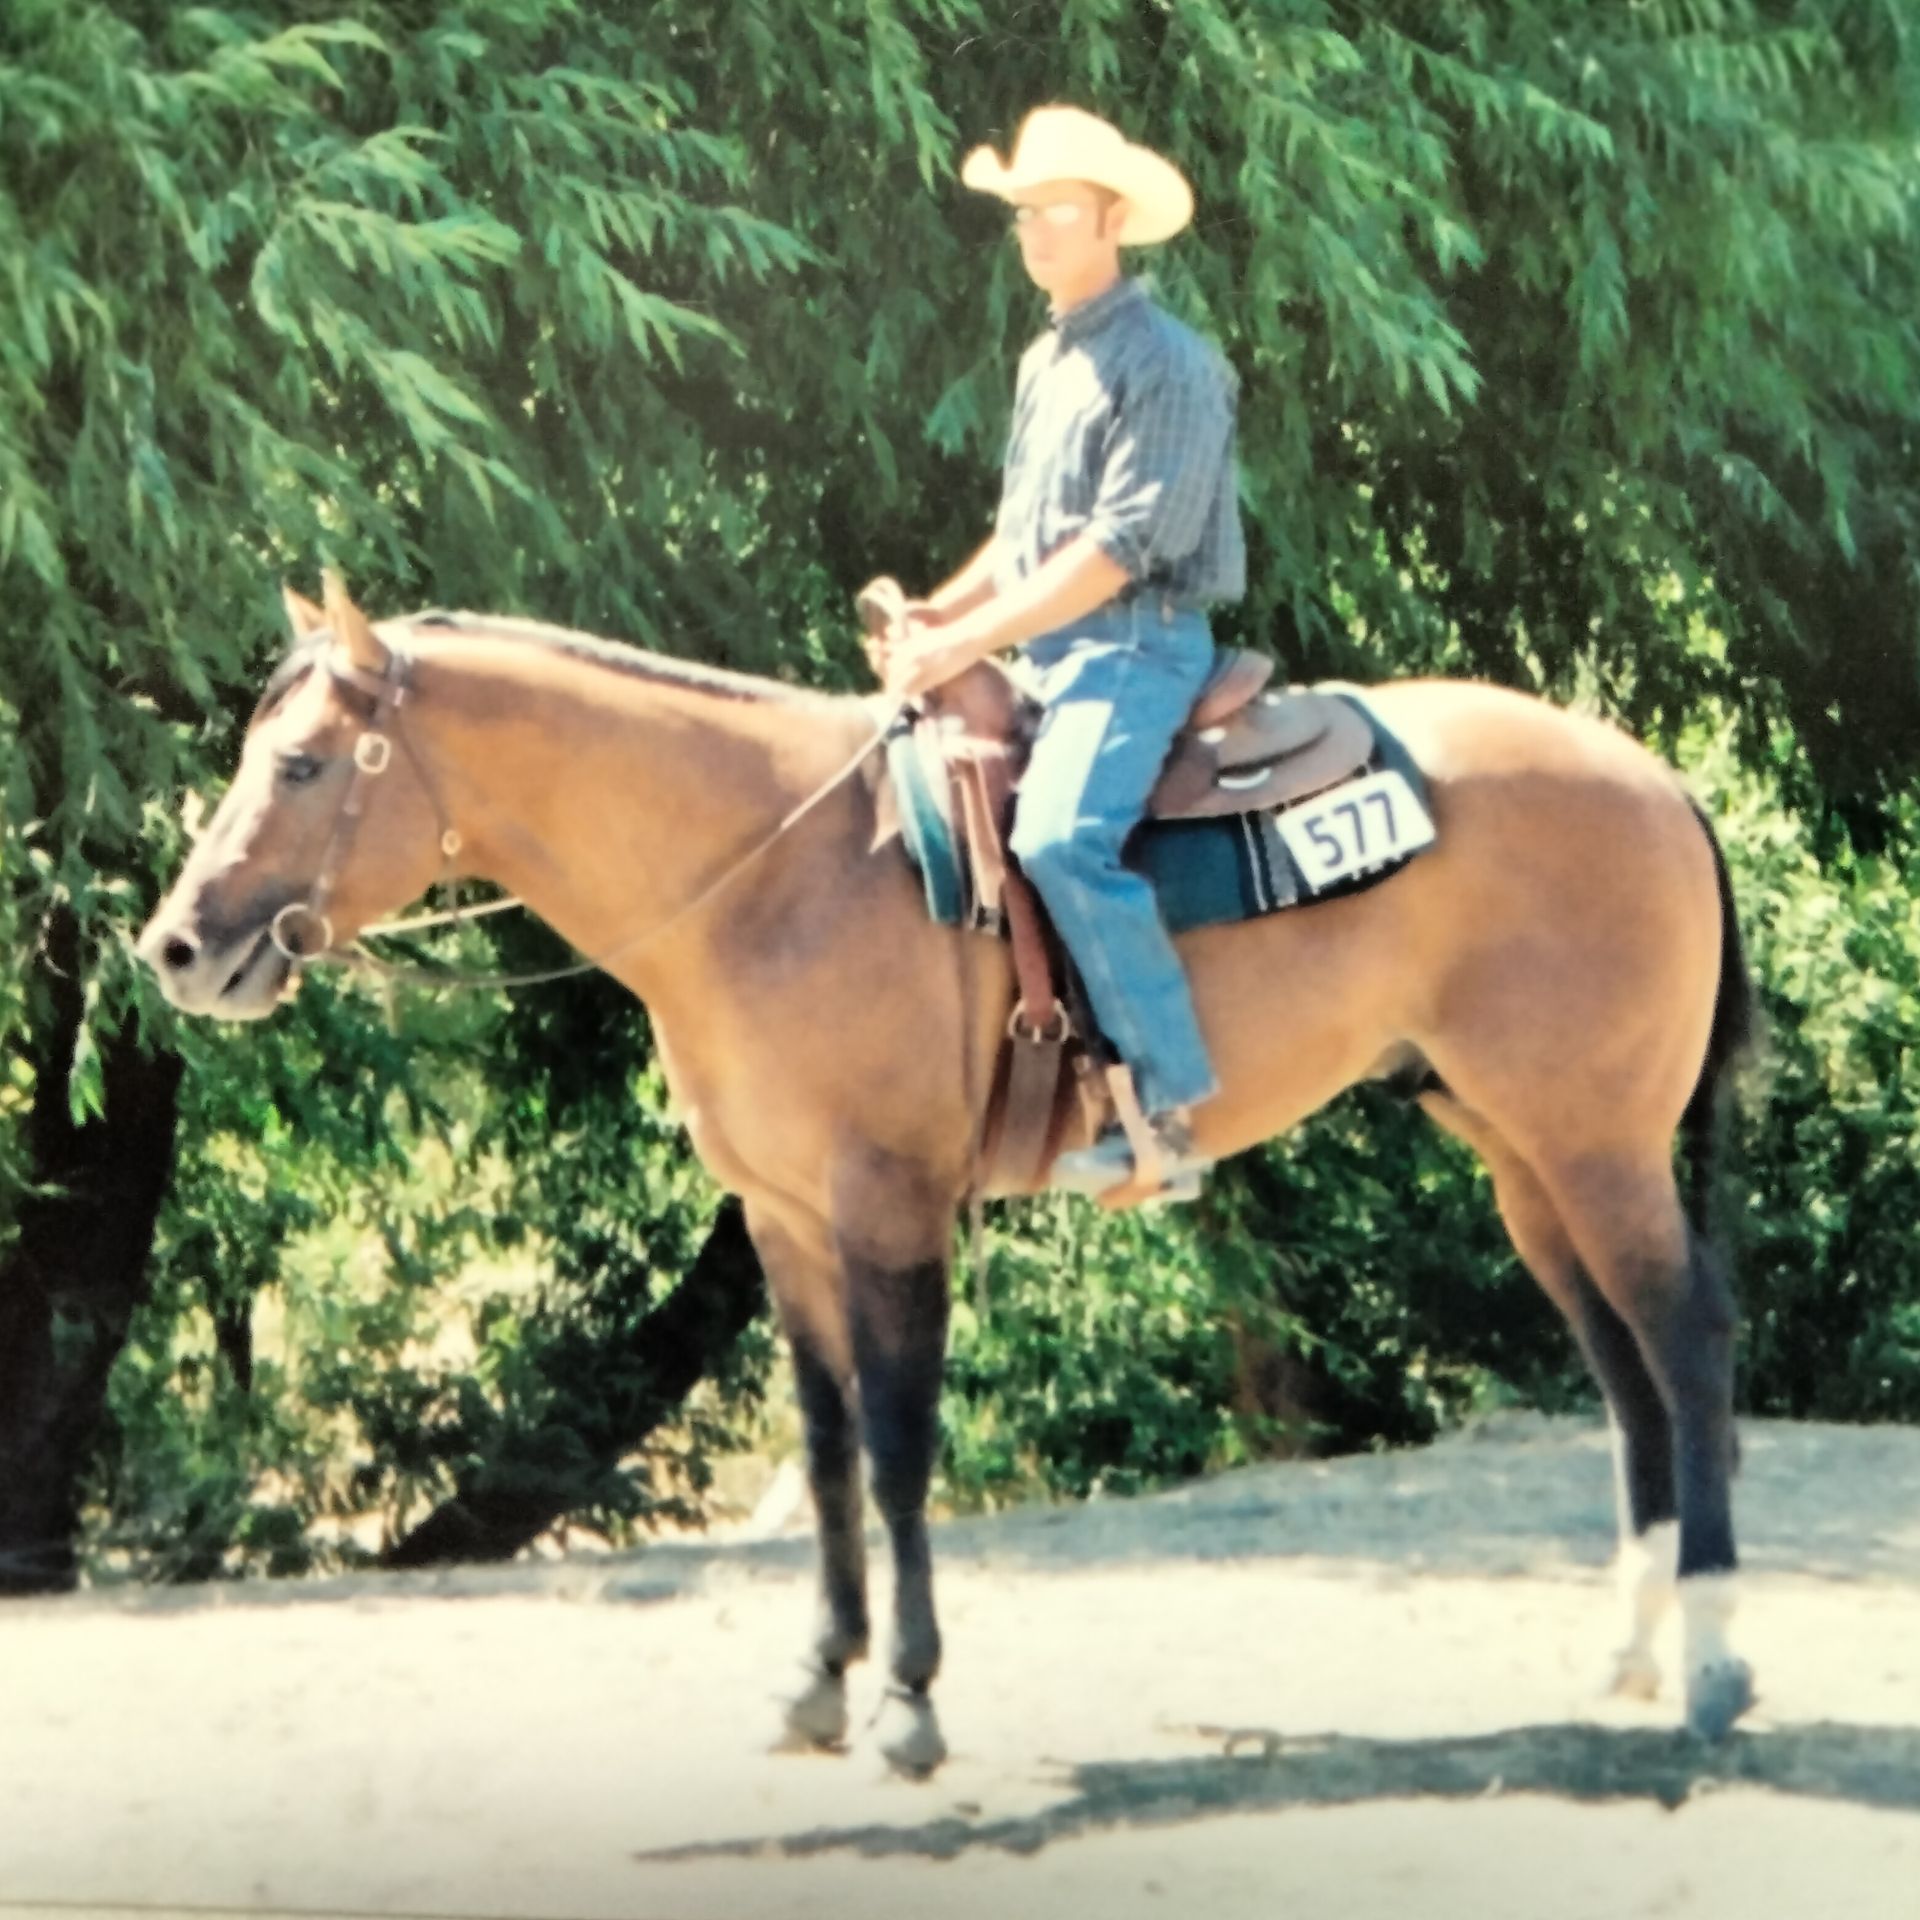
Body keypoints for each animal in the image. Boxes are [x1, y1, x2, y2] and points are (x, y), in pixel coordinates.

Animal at [137, 572, 1757, 1772]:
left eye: (297, 763)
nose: (174, 948)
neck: (768, 876)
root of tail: (1660, 779)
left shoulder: (889, 1208)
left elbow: (904, 1444)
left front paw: (910, 1702)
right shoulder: (783, 1222)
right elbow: (831, 1452)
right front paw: (819, 1681)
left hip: (1598, 1142)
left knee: (1684, 1341)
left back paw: (1717, 1665)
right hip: (1523, 1152)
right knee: (1619, 1362)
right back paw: (1634, 1650)